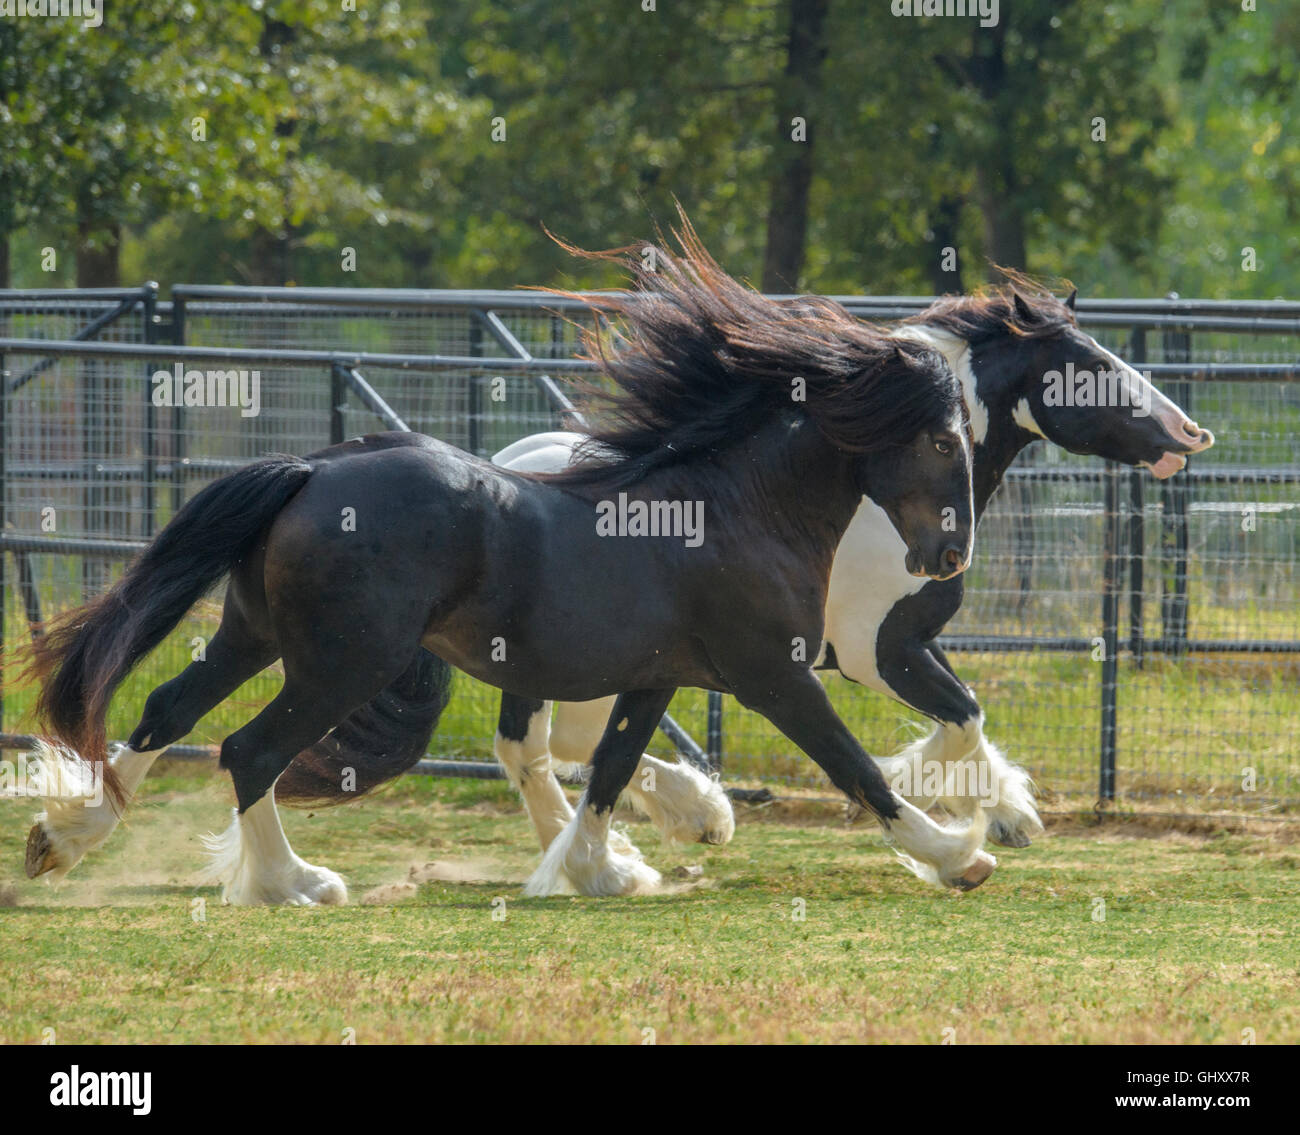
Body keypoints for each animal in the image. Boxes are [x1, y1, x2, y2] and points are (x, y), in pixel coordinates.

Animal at [17, 226, 982, 904]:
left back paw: (65, 838)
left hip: (253, 637)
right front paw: (956, 854)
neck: (738, 508)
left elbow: (611, 769)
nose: (948, 557)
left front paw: (601, 869)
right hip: (342, 662)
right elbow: (851, 763)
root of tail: (314, 470)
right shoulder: (771, 674)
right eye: (941, 439)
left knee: (167, 709)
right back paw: (296, 883)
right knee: (247, 750)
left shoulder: (657, 677)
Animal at [478, 279, 1216, 889]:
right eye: (1093, 368)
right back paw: (658, 834)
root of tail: (509, 461)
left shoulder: (918, 636)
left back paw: (652, 835)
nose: (1190, 433)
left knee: (544, 745)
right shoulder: (875, 651)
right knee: (550, 744)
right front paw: (924, 796)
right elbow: (956, 723)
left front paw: (1003, 809)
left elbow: (971, 714)